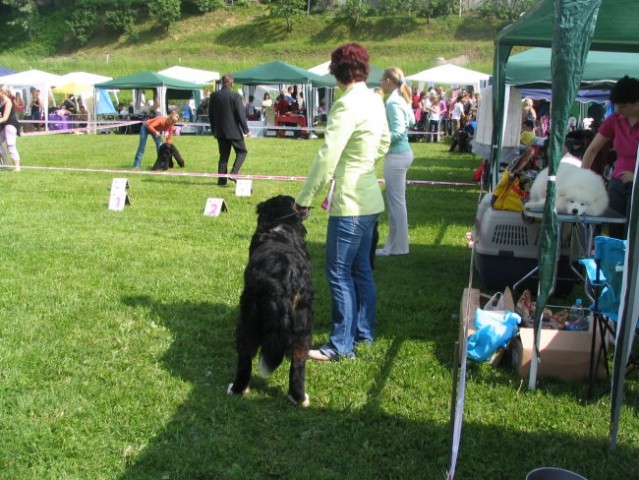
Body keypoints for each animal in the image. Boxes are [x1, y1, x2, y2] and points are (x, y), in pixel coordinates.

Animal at [229, 194, 314, 404]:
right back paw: (299, 398)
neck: (279, 226)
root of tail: (283, 279)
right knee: (298, 362)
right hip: (303, 321)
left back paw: (237, 389)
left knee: (245, 357)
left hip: (248, 318)